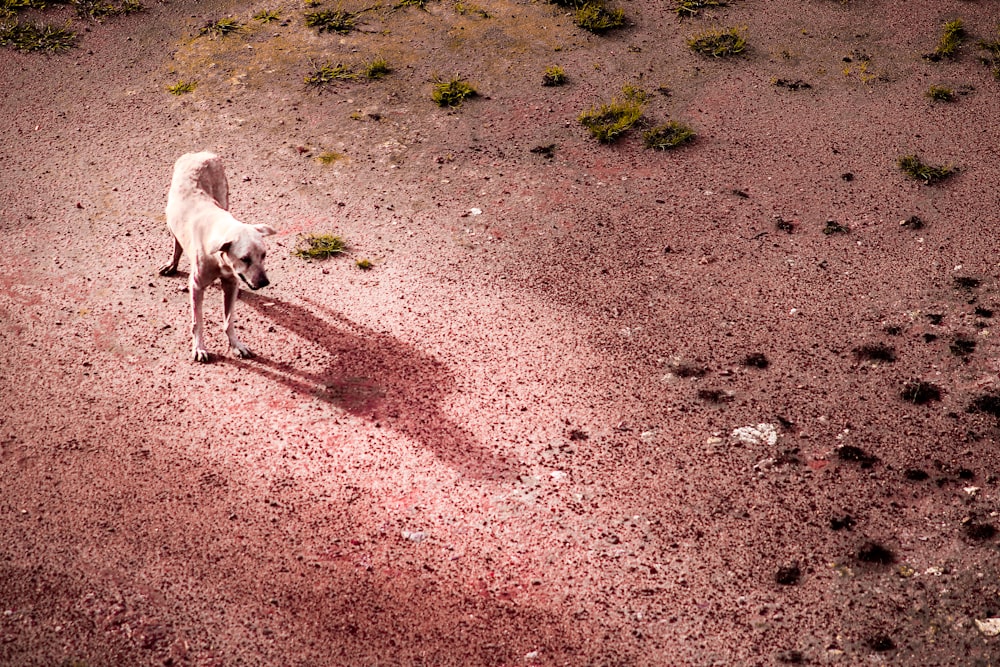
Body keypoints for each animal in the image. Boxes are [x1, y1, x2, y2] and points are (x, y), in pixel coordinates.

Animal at [160, 152, 278, 362]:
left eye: (264, 255)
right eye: (245, 258)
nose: (264, 282)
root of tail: (201, 154)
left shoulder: (231, 283)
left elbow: (229, 320)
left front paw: (236, 345)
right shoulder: (197, 286)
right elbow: (197, 322)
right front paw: (199, 347)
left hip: (223, 196)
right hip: (171, 220)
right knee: (177, 244)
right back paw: (171, 264)